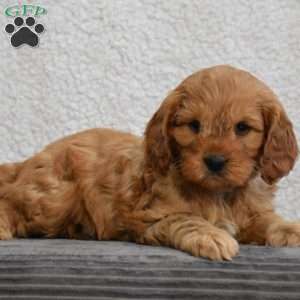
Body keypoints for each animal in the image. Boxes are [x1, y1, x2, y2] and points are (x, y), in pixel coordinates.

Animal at [0, 63, 300, 260]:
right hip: (54, 197)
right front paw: (211, 235)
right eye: (193, 126)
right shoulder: (147, 216)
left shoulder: (253, 214)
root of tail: (29, 161)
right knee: (11, 202)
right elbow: (186, 218)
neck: (220, 195)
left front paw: (291, 228)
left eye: (242, 128)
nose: (214, 161)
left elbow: (269, 220)